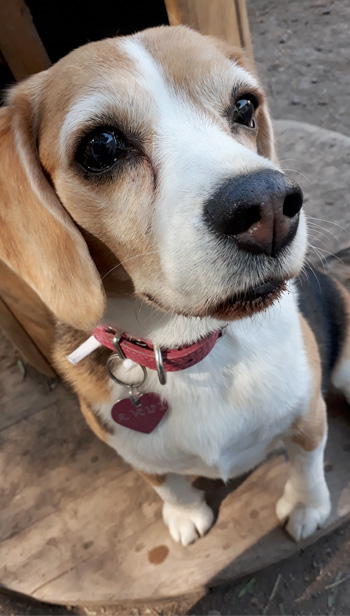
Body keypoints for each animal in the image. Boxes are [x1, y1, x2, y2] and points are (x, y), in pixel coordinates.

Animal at [0, 24, 350, 548]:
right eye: (101, 147)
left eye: (244, 106)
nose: (270, 207)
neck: (188, 345)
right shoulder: (135, 452)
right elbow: (166, 483)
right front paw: (185, 514)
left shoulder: (307, 415)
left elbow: (306, 463)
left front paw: (308, 507)